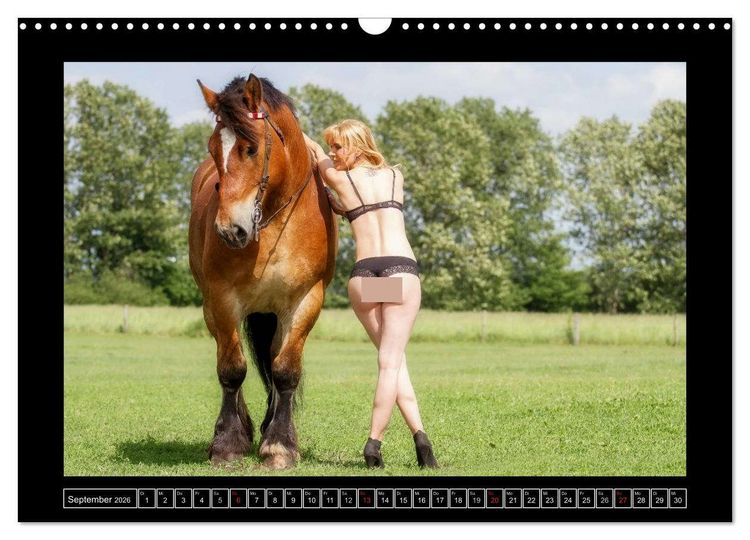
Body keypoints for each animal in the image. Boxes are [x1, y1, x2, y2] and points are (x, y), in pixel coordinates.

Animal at [188, 74, 338, 468]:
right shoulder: (223, 299)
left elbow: (284, 371)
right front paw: (228, 443)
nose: (229, 230)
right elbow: (231, 369)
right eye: (213, 148)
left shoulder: (305, 302)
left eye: (251, 149)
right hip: (213, 309)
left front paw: (280, 445)